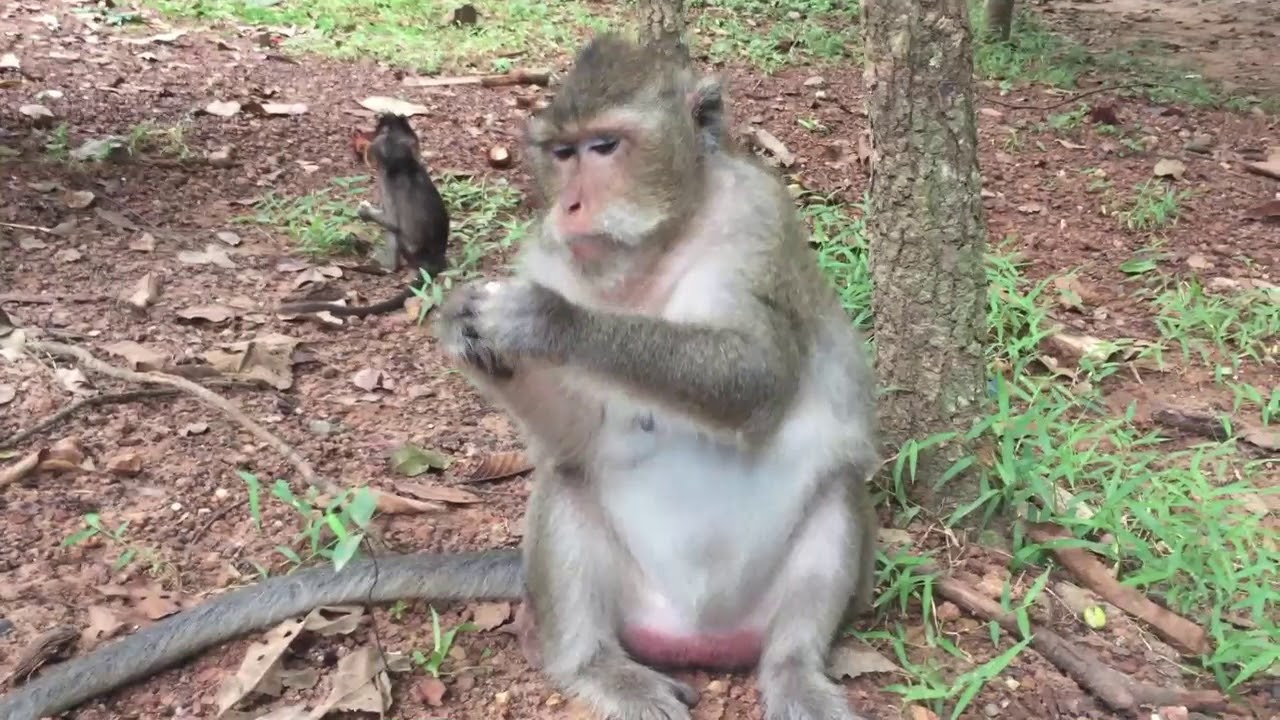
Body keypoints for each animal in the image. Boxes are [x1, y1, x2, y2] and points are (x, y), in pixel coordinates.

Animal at [278, 112, 450, 319]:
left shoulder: (386, 180)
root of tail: (435, 257)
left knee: (392, 233)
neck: (406, 166)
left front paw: (365, 212)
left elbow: (393, 223)